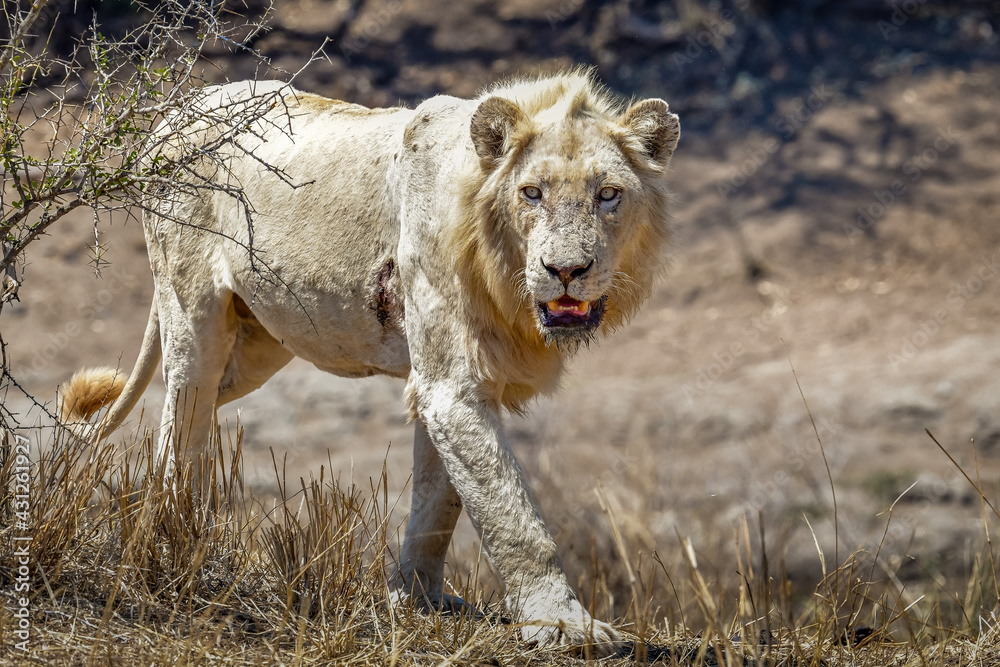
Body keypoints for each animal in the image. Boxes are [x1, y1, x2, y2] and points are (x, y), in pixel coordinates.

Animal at [60, 71, 680, 655]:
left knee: (187, 407)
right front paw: (564, 625)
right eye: (531, 193)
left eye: (608, 194)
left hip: (258, 341)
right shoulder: (450, 386)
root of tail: (174, 111)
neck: (503, 276)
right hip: (193, 307)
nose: (567, 270)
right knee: (183, 412)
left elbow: (440, 503)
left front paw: (417, 599)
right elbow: (512, 515)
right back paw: (175, 536)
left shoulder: (449, 387)